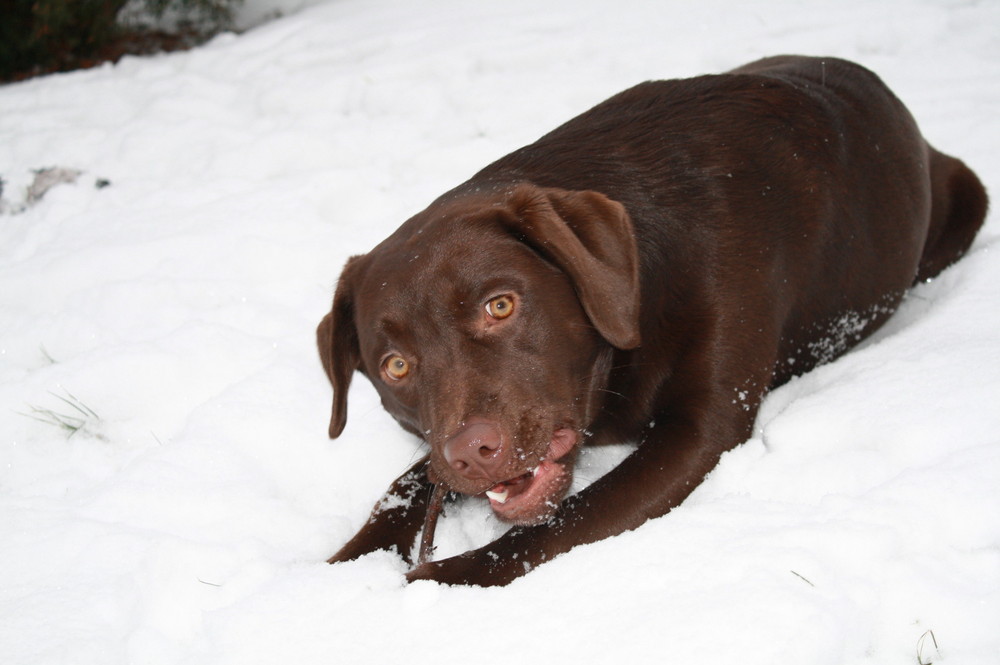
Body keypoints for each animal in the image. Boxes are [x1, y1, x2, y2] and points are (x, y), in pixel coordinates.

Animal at [316, 58, 988, 588]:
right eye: (395, 366)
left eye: (500, 305)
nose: (474, 455)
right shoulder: (442, 454)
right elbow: (400, 492)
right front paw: (334, 576)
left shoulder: (701, 429)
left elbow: (557, 525)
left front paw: (434, 579)